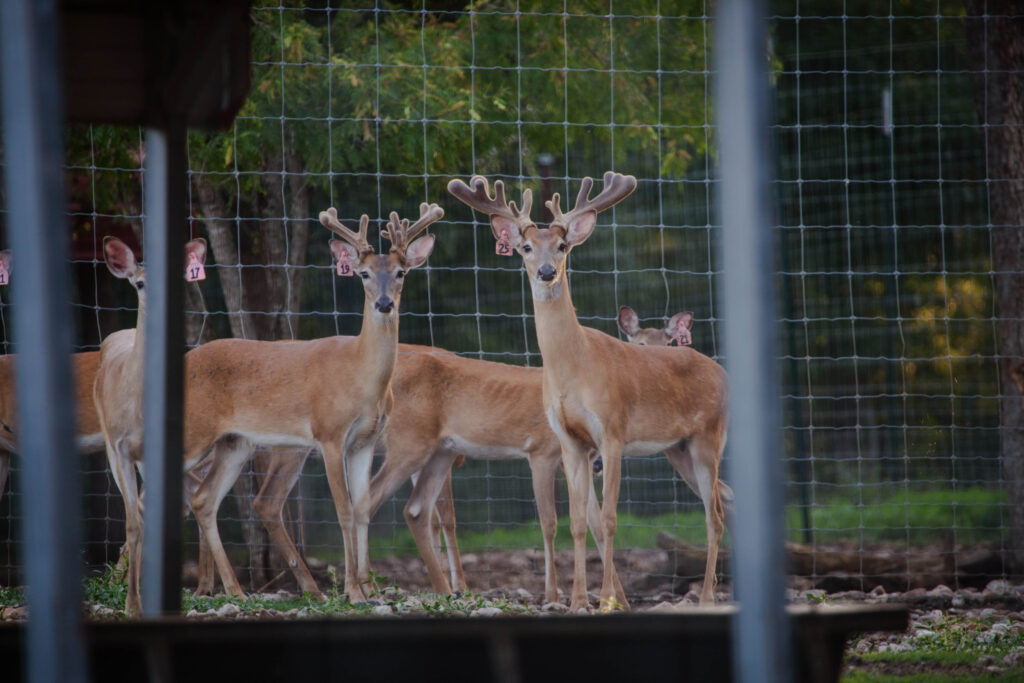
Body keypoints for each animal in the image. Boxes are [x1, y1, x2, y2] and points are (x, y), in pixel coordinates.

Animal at [448, 171, 729, 610]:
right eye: (526, 247)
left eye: (562, 246)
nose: (548, 272)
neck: (572, 371)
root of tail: (721, 371)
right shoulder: (569, 441)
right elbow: (579, 522)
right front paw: (578, 599)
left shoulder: (612, 431)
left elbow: (610, 520)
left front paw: (607, 600)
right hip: (677, 449)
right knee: (721, 506)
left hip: (708, 438)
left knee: (713, 516)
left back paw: (705, 598)